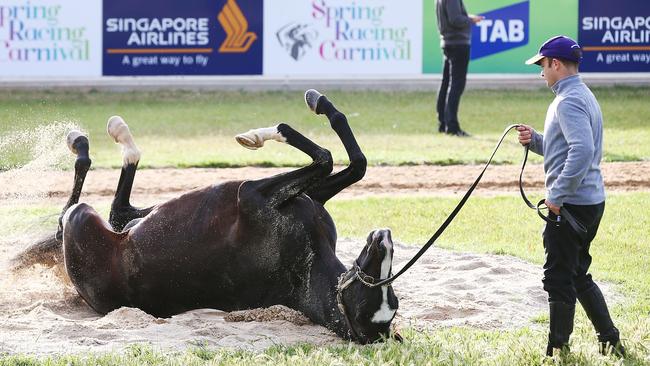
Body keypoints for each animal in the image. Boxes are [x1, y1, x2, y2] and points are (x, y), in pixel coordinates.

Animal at [46, 91, 394, 344]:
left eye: (379, 290)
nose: (384, 237)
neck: (306, 264)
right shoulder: (310, 198)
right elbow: (356, 163)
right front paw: (320, 104)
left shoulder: (250, 194)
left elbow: (325, 157)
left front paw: (259, 135)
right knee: (119, 210)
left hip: (82, 219)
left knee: (84, 212)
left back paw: (88, 142)